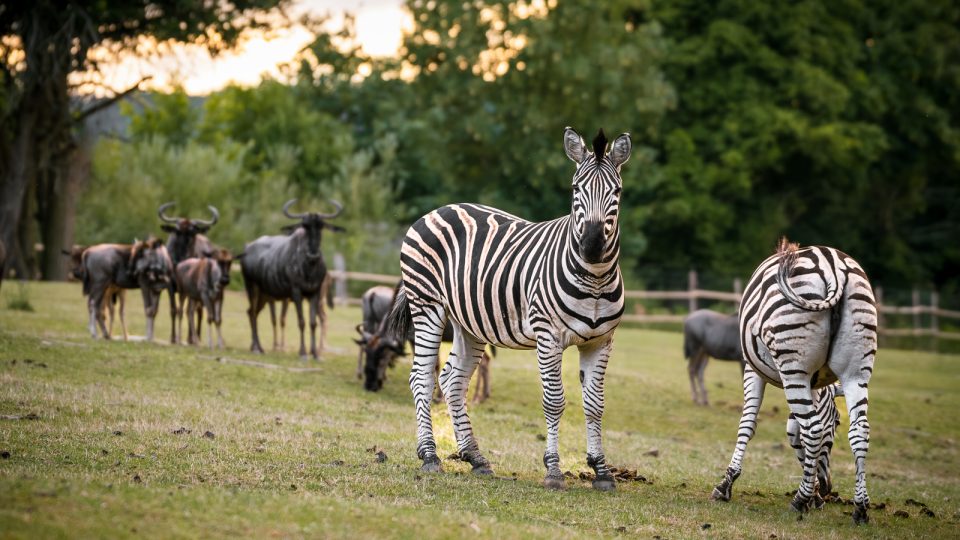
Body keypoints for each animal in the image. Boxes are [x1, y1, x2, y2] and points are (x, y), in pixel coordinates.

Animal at [386, 126, 632, 490]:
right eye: (575, 189)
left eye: (616, 191)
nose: (591, 245)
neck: (595, 280)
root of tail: (437, 210)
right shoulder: (548, 336)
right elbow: (554, 401)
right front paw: (553, 471)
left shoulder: (601, 341)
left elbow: (595, 405)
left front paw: (601, 471)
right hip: (426, 304)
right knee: (421, 378)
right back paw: (430, 456)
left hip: (468, 322)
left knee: (453, 380)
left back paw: (475, 458)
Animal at [712, 239, 876, 524]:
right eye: (837, 421)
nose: (828, 489)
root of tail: (833, 265)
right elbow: (794, 429)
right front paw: (817, 496)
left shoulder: (751, 369)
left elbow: (748, 423)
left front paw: (725, 485)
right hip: (857, 371)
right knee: (860, 431)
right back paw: (860, 509)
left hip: (793, 365)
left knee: (812, 429)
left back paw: (799, 501)